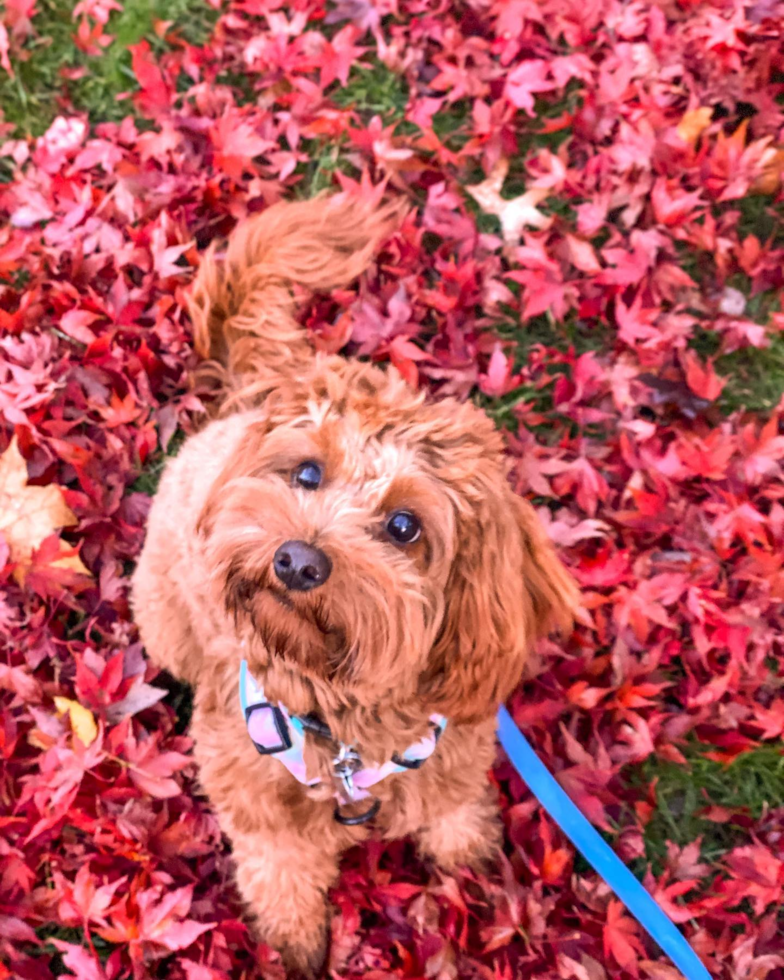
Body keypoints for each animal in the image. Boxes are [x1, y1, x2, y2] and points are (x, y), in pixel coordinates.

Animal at [132, 195, 580, 976]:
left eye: (404, 526)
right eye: (308, 473)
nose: (297, 561)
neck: (345, 731)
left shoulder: (455, 750)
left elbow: (453, 805)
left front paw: (469, 850)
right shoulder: (259, 806)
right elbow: (280, 870)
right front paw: (299, 942)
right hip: (162, 613)